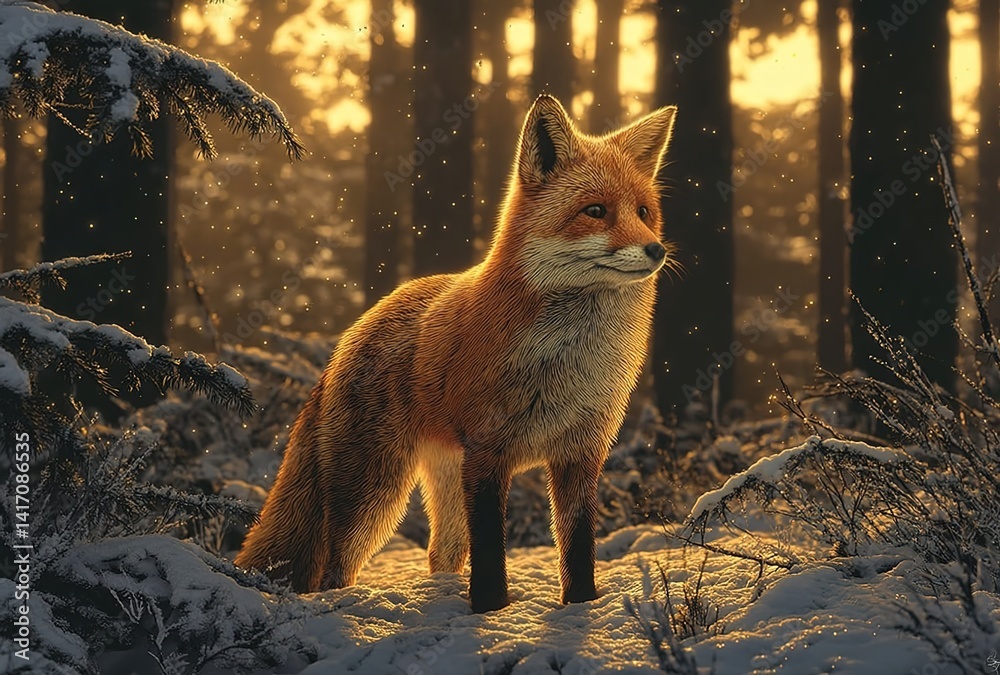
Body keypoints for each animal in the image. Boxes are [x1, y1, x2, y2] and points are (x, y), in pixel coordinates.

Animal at [236, 94, 678, 613]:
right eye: (595, 210)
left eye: (644, 212)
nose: (656, 250)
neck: (567, 364)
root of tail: (356, 328)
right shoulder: (488, 453)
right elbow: (490, 554)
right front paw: (490, 610)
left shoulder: (581, 454)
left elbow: (578, 548)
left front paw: (580, 608)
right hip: (372, 490)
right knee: (334, 564)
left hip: (442, 481)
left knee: (438, 554)